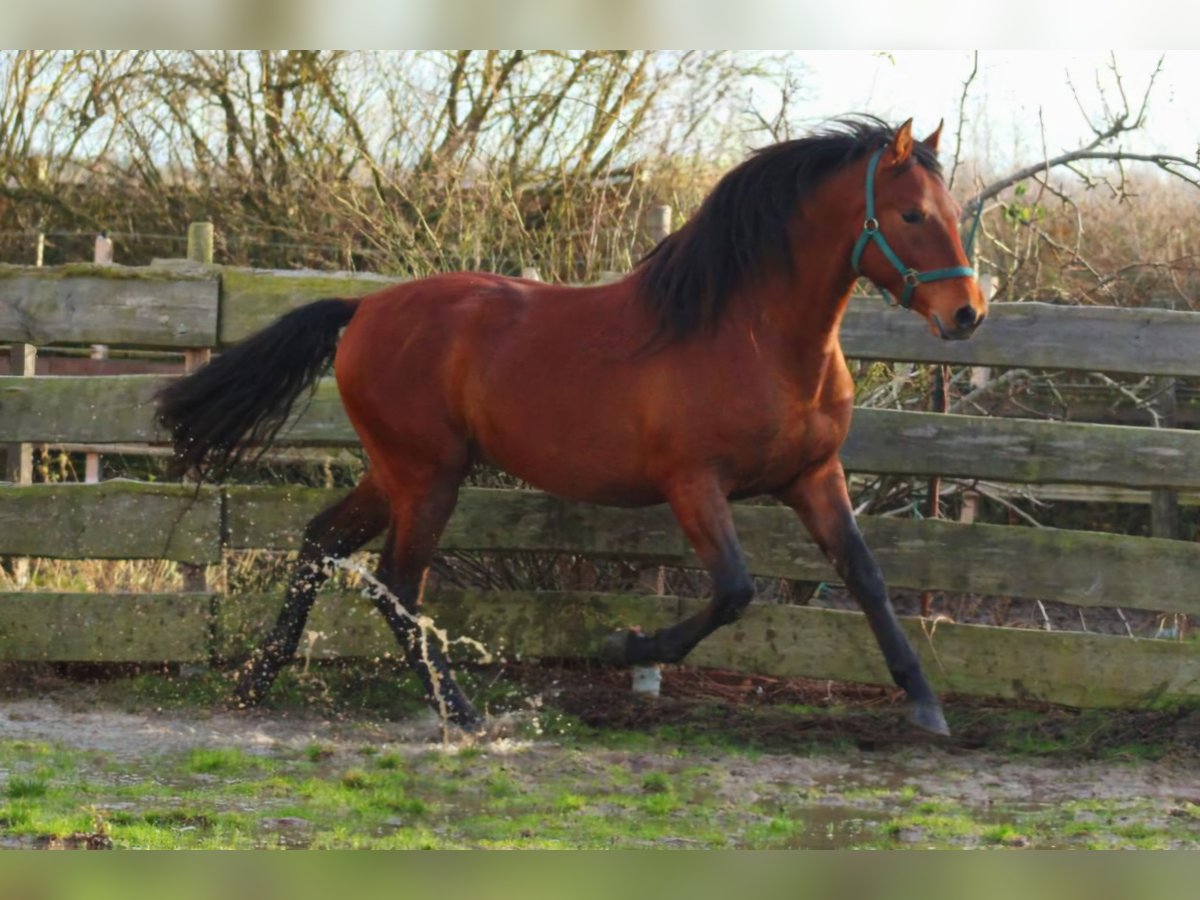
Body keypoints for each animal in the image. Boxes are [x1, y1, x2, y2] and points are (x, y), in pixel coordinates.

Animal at [157, 118, 984, 739]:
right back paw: (462, 713)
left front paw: (926, 705)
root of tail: (363, 309)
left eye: (953, 213)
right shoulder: (693, 485)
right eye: (912, 216)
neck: (751, 336)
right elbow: (735, 591)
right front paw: (628, 644)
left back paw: (257, 680)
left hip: (395, 471)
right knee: (397, 582)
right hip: (427, 476)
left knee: (322, 543)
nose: (967, 314)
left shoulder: (814, 478)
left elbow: (867, 577)